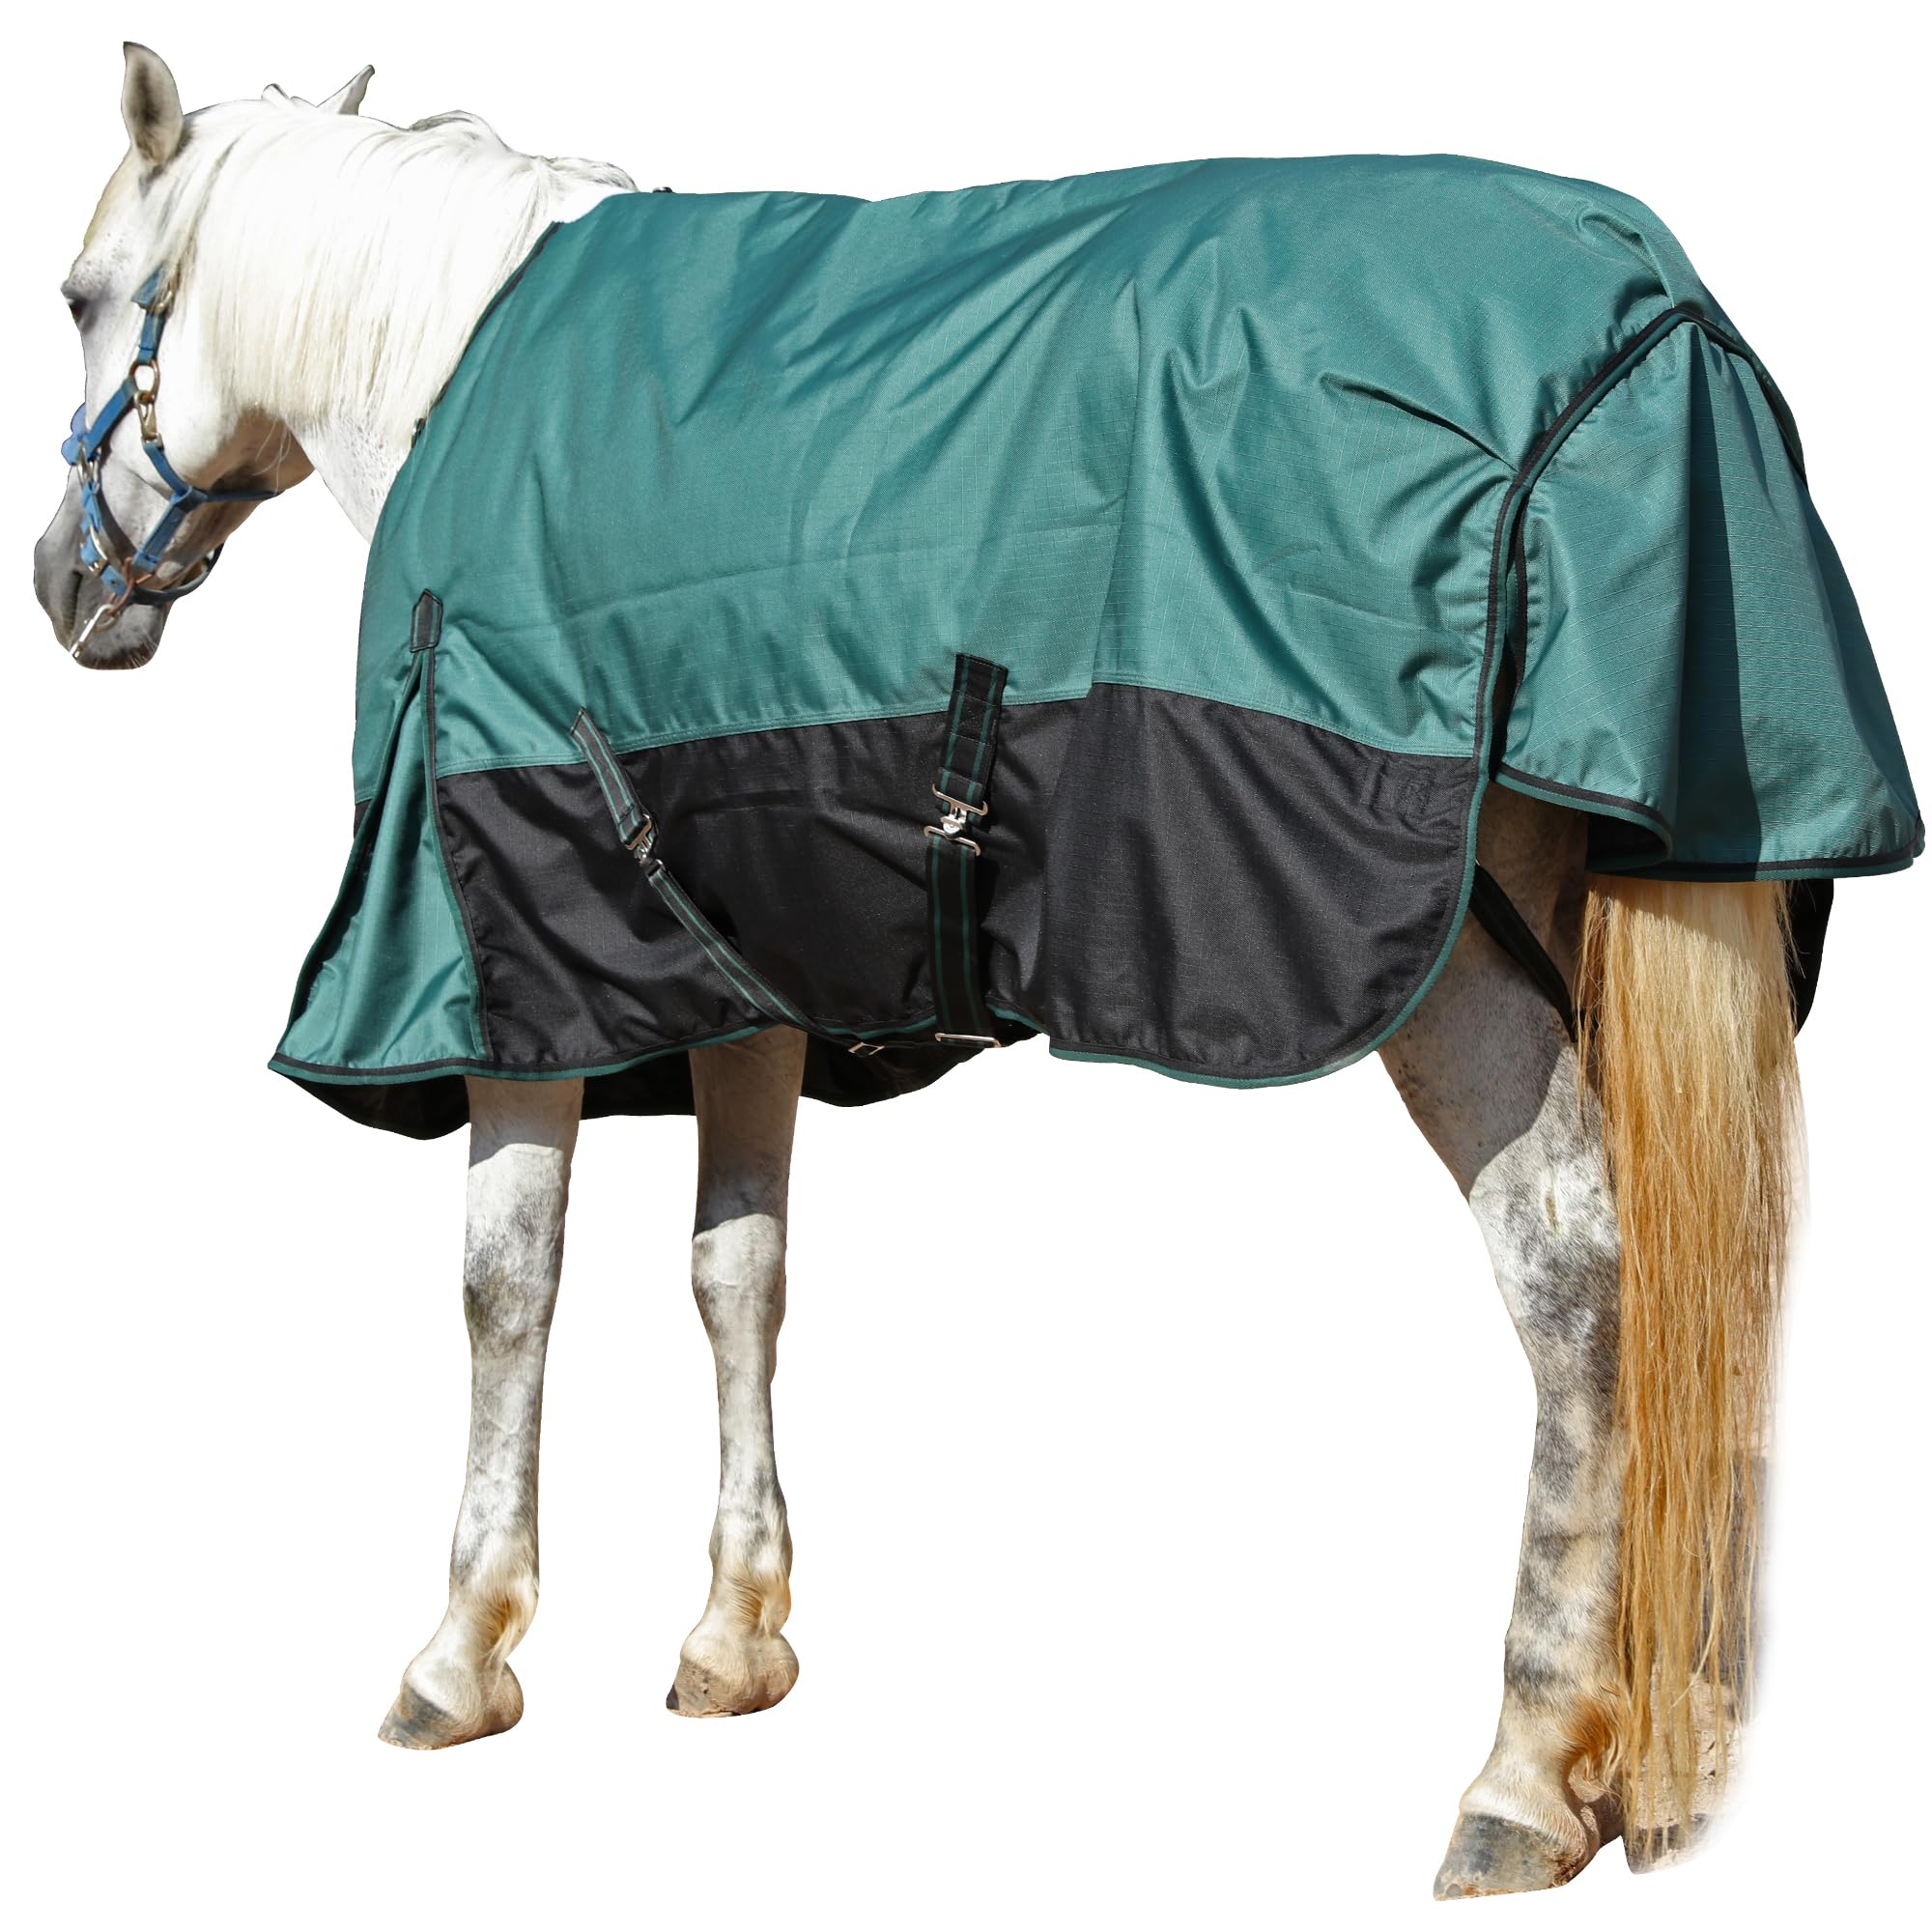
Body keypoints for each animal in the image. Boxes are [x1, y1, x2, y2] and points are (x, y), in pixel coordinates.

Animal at [33, 45, 1919, 1900]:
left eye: (78, 297)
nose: (66, 588)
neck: (455, 347)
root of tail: (1653, 328)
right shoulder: (739, 951)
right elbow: (740, 1270)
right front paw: (735, 1637)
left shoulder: (498, 922)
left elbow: (509, 1284)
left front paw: (460, 1653)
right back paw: (1670, 1751)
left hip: (1445, 963)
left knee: (1577, 1270)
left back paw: (1526, 1777)